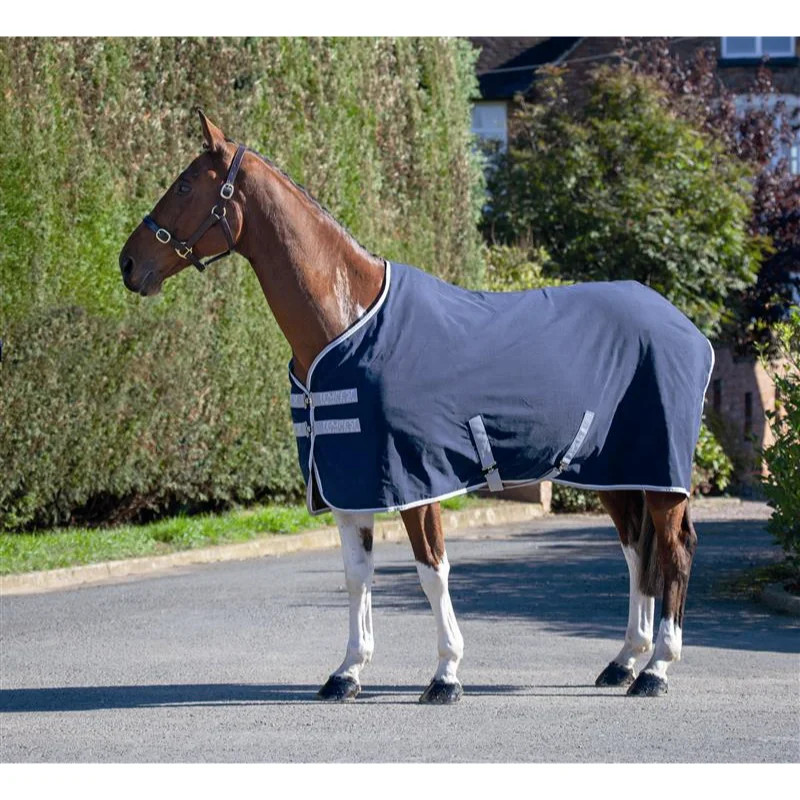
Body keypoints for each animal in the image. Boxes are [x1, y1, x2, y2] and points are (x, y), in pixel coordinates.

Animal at [119, 110, 711, 704]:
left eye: (185, 185)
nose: (127, 263)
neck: (348, 318)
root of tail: (686, 326)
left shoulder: (414, 479)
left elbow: (432, 570)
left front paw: (446, 674)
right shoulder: (347, 477)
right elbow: (356, 574)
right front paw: (347, 672)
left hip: (660, 472)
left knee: (674, 549)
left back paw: (657, 668)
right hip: (616, 472)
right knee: (637, 550)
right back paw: (625, 661)